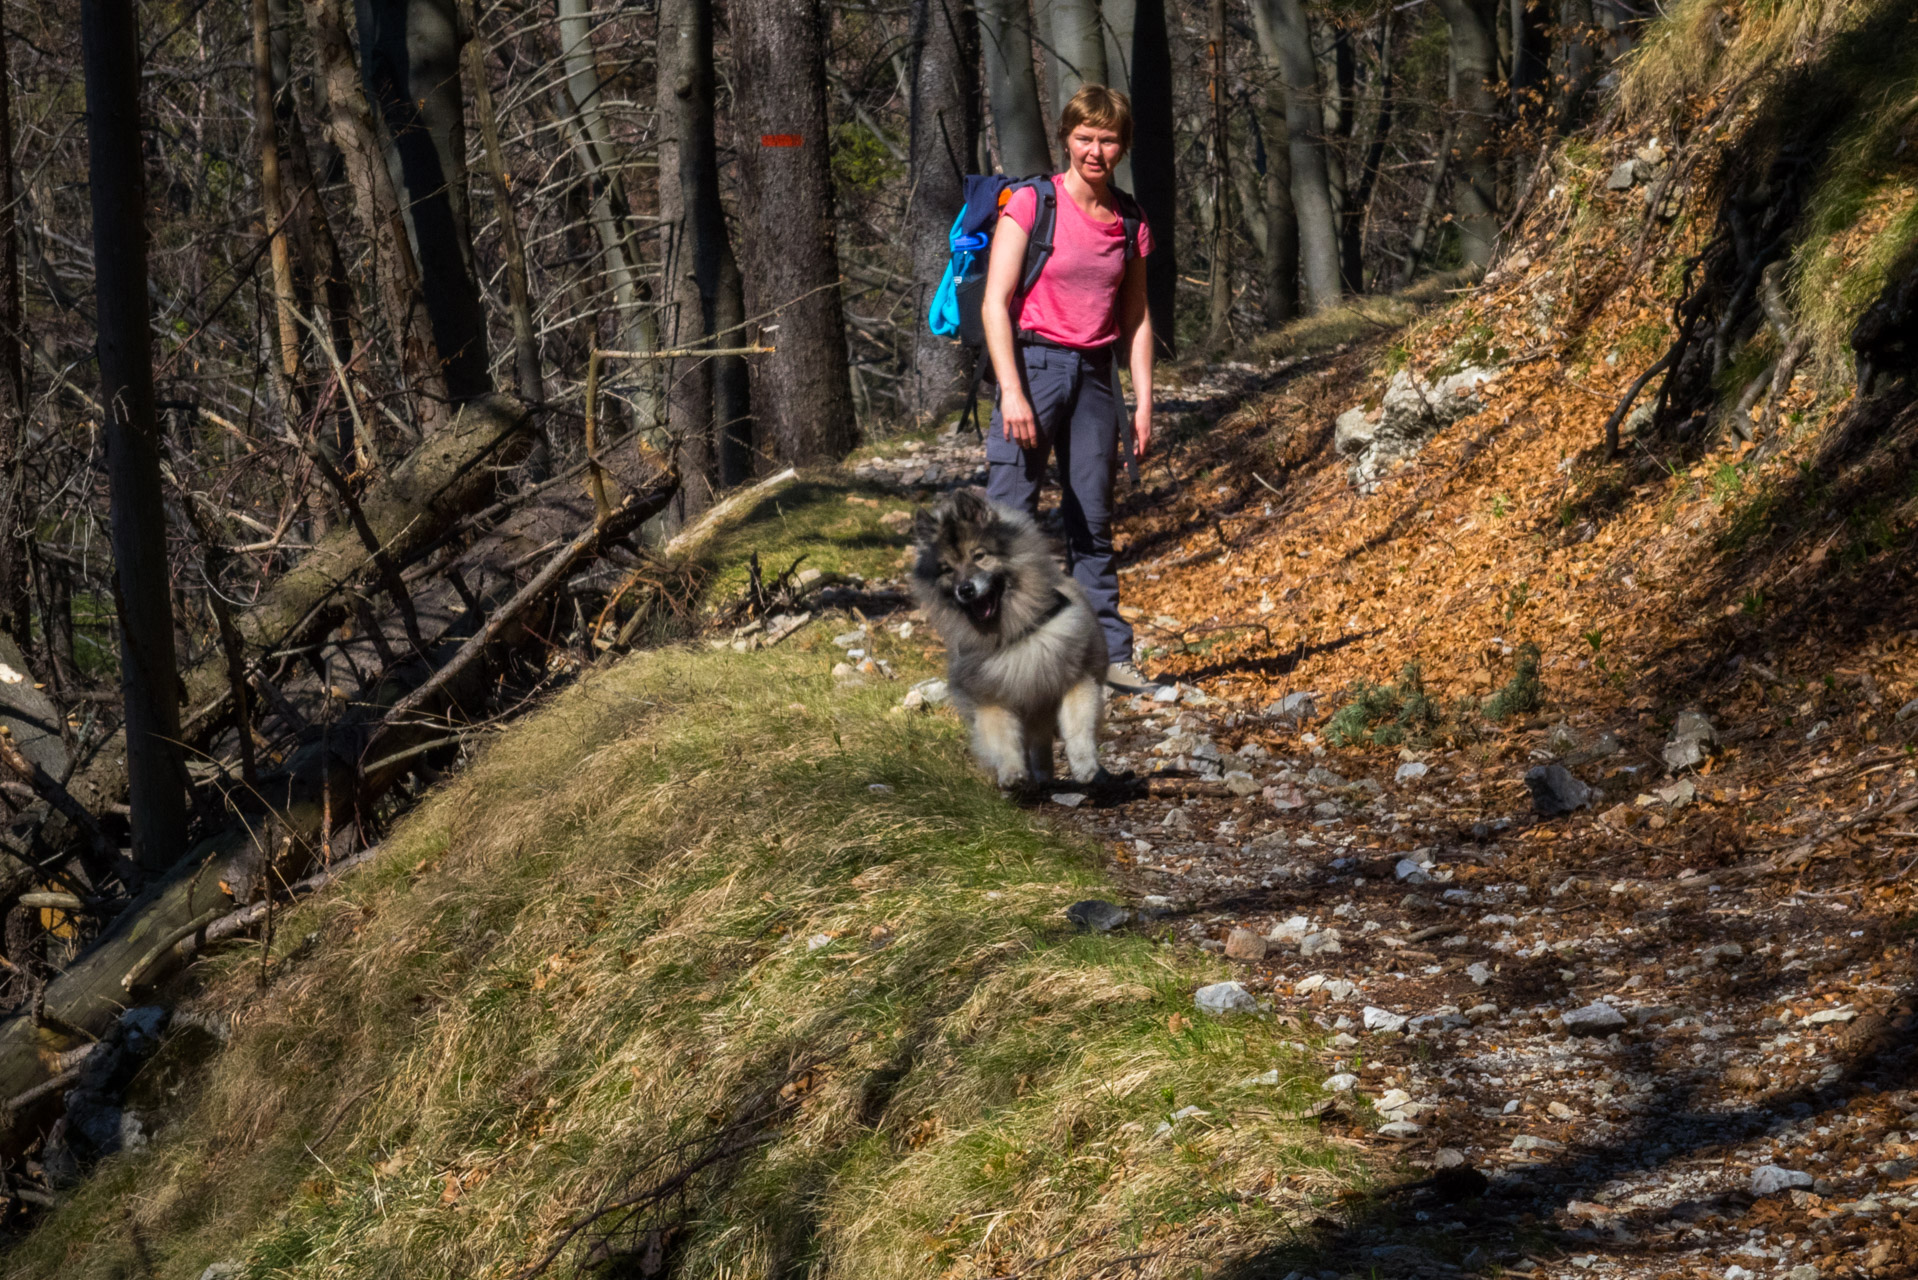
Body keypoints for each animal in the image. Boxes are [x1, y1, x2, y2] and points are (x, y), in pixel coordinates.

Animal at [912, 491, 1112, 790]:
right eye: (947, 569)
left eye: (979, 555)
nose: (965, 589)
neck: (1013, 631)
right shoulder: (992, 697)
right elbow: (1002, 738)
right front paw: (1011, 774)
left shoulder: (1076, 678)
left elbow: (1078, 725)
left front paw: (1084, 766)